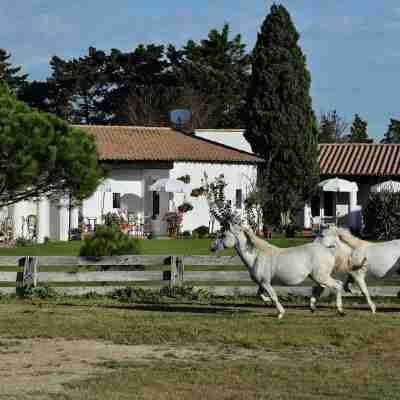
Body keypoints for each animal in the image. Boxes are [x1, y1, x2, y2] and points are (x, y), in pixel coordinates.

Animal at [211, 223, 346, 320]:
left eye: (223, 235)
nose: (212, 248)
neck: (256, 256)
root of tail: (328, 249)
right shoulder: (262, 283)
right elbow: (260, 295)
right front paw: (267, 302)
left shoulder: (265, 283)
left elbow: (273, 296)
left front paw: (280, 313)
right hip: (317, 276)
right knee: (321, 287)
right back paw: (312, 307)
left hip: (321, 276)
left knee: (337, 285)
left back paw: (340, 311)